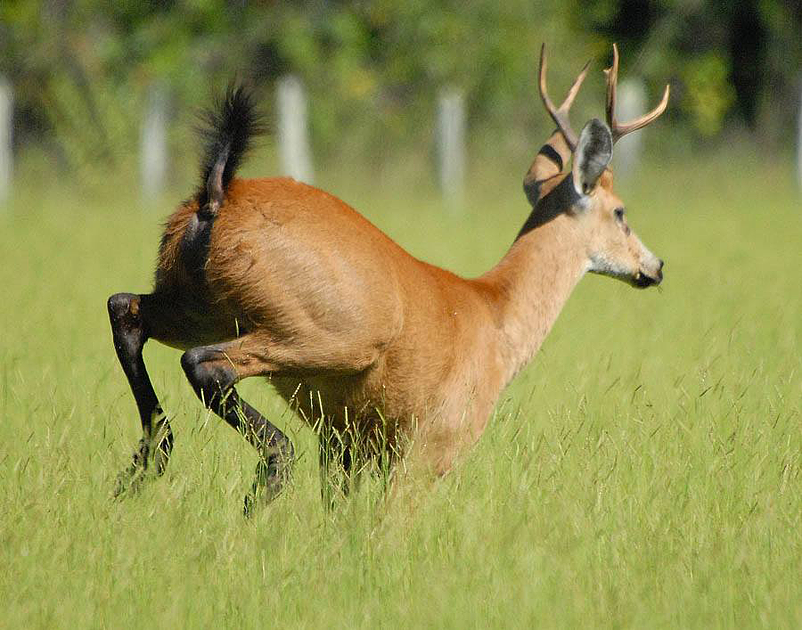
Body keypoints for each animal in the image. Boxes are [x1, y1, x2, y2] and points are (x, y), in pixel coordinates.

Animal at [108, 44, 668, 512]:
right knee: (204, 364)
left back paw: (144, 465)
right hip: (325, 335)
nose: (655, 266)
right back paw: (265, 470)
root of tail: (214, 198)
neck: (494, 314)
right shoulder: (431, 448)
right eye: (621, 212)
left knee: (126, 310)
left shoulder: (347, 444)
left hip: (197, 303)